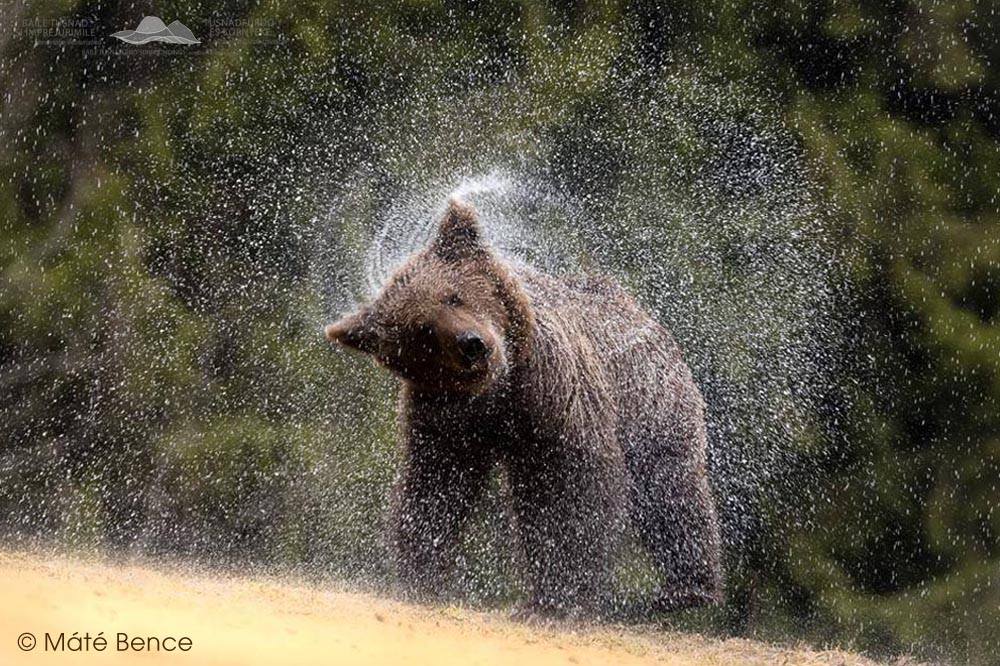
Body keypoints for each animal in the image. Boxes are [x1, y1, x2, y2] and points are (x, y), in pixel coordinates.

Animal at [324, 198, 724, 616]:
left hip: (650, 399)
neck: (500, 391)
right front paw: (422, 574)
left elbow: (570, 485)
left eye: (454, 295)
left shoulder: (553, 389)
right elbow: (436, 483)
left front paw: (561, 591)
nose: (472, 345)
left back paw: (686, 589)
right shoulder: (446, 415)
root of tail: (633, 306)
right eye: (424, 331)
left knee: (669, 487)